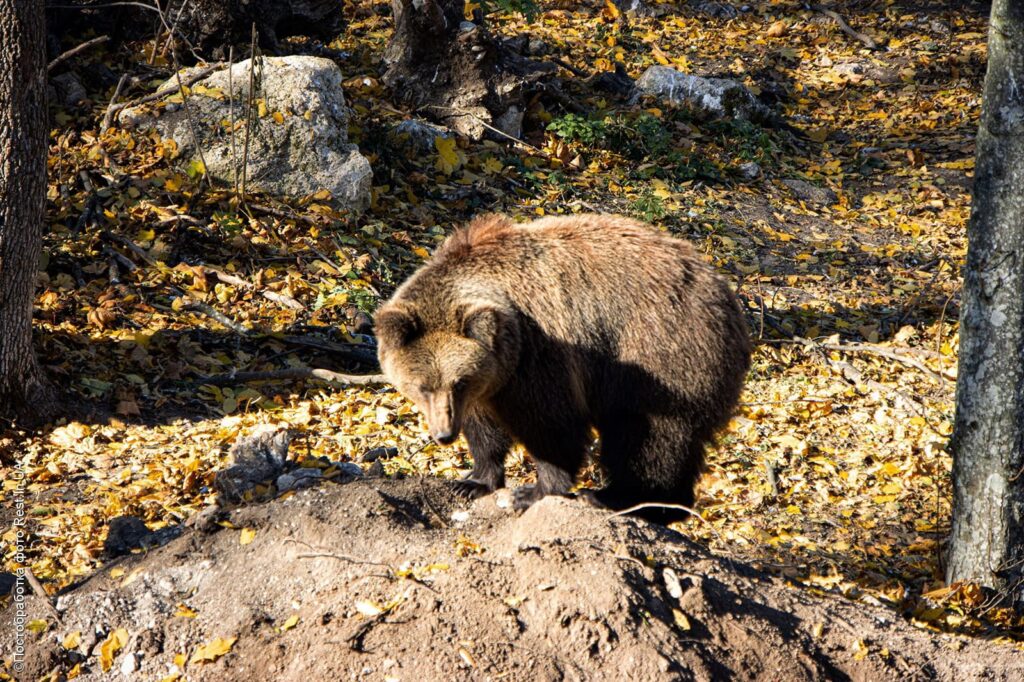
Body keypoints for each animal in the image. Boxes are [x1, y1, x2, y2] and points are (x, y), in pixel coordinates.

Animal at [372, 214, 749, 520]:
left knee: (647, 437)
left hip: (660, 355)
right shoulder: (492, 379)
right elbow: (484, 429)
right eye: (423, 386)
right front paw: (474, 480)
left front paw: (533, 492)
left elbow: (553, 425)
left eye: (459, 381)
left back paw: (620, 499)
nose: (444, 435)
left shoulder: (540, 353)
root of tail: (729, 300)